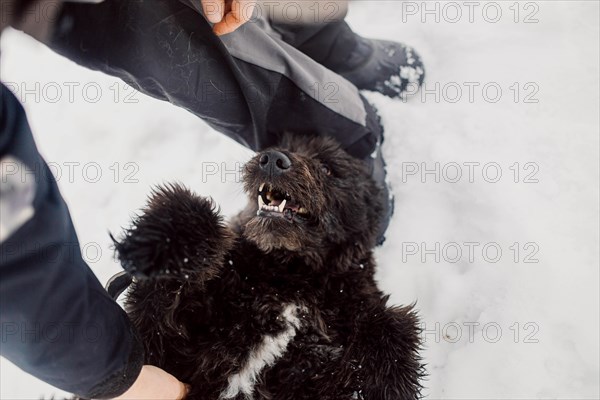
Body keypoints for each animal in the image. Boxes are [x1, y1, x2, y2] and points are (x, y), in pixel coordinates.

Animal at [112, 136, 422, 398]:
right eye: (282, 145)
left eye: (327, 167)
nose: (272, 159)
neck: (289, 275)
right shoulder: (159, 349)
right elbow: (185, 208)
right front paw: (161, 246)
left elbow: (390, 327)